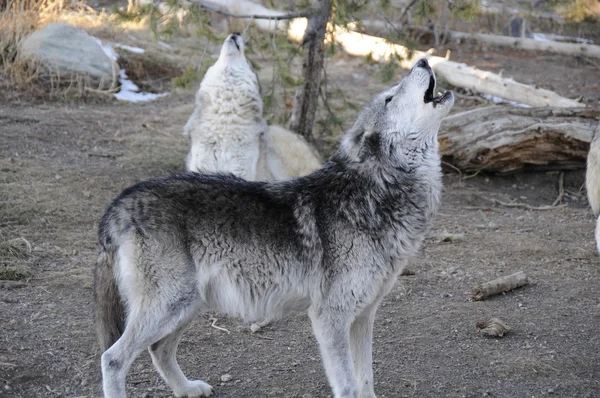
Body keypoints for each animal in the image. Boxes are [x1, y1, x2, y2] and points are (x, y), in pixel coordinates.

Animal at [94, 59, 452, 398]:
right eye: (390, 98)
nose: (422, 61)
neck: (376, 190)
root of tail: (121, 202)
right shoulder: (330, 317)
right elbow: (348, 386)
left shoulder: (364, 315)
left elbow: (366, 380)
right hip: (171, 305)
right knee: (113, 358)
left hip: (189, 305)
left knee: (159, 350)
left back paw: (188, 389)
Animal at [185, 33, 322, 181]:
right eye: (217, 60)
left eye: (247, 61)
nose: (236, 33)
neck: (225, 115)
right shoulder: (203, 165)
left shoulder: (240, 169)